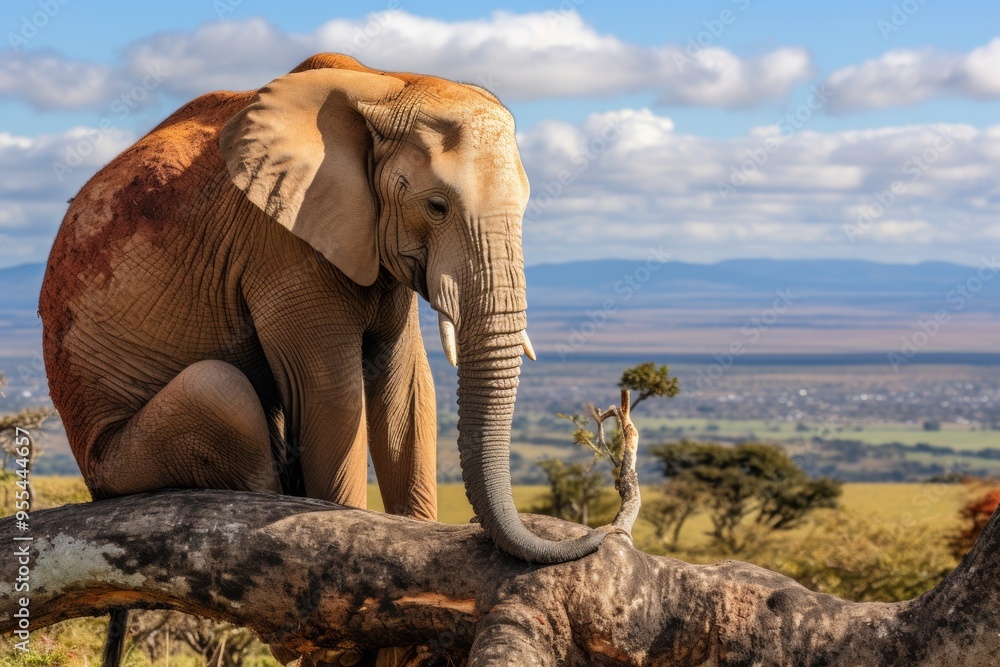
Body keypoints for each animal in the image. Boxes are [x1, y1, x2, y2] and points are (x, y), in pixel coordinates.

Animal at [40, 53, 606, 567]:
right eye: (436, 206)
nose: (598, 536)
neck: (385, 85)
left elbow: (406, 389)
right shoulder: (279, 242)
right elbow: (332, 395)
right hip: (118, 463)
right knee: (219, 390)